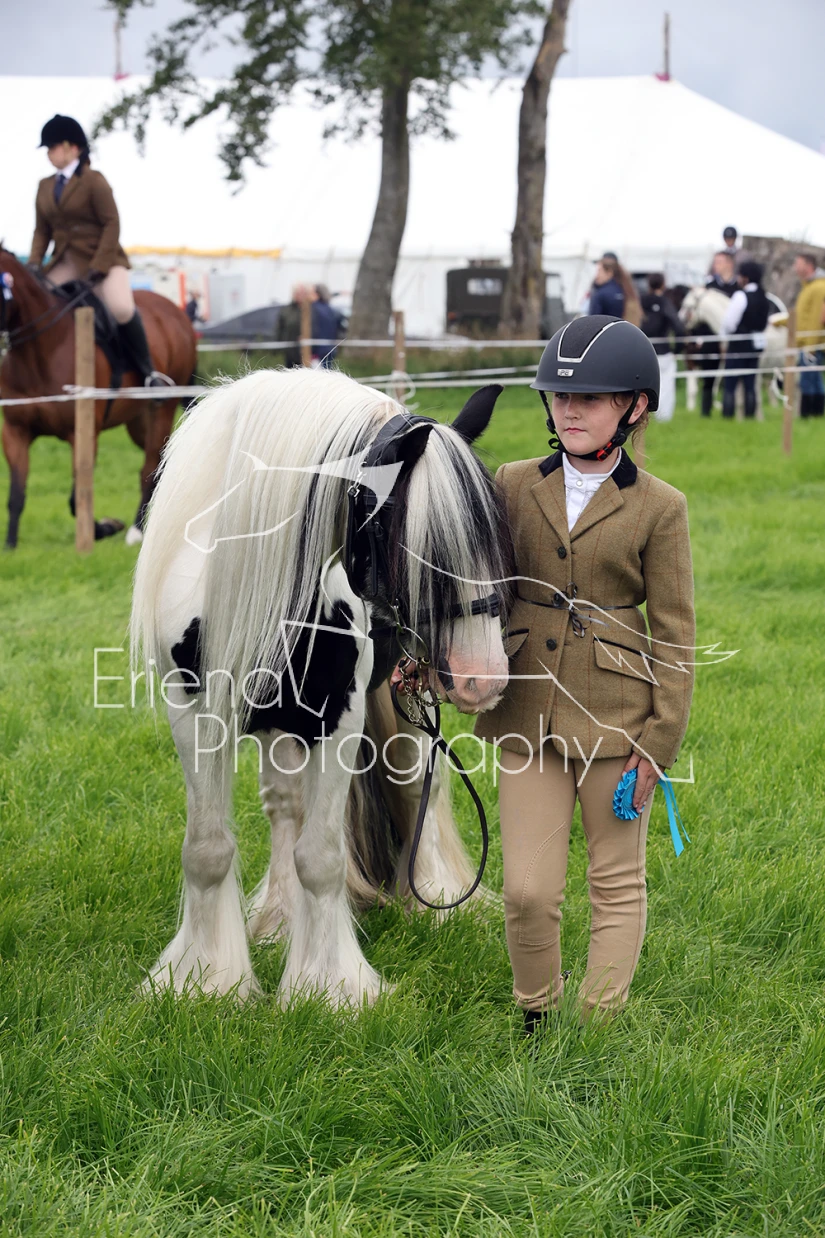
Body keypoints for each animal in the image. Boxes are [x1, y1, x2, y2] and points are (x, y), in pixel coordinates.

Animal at [0, 247, 196, 549]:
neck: (41, 351)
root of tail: (176, 312)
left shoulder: (83, 433)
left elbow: (76, 498)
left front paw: (104, 528)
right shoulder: (15, 432)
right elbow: (16, 494)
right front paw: (10, 546)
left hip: (160, 411)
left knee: (150, 467)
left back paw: (136, 532)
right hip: (137, 423)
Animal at [131, 366, 512, 1005]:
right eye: (414, 539)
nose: (483, 677)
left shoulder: (341, 719)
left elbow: (322, 858)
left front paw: (329, 991)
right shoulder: (195, 714)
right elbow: (208, 849)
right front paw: (206, 983)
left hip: (402, 700)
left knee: (420, 785)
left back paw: (436, 898)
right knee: (287, 806)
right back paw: (279, 922)